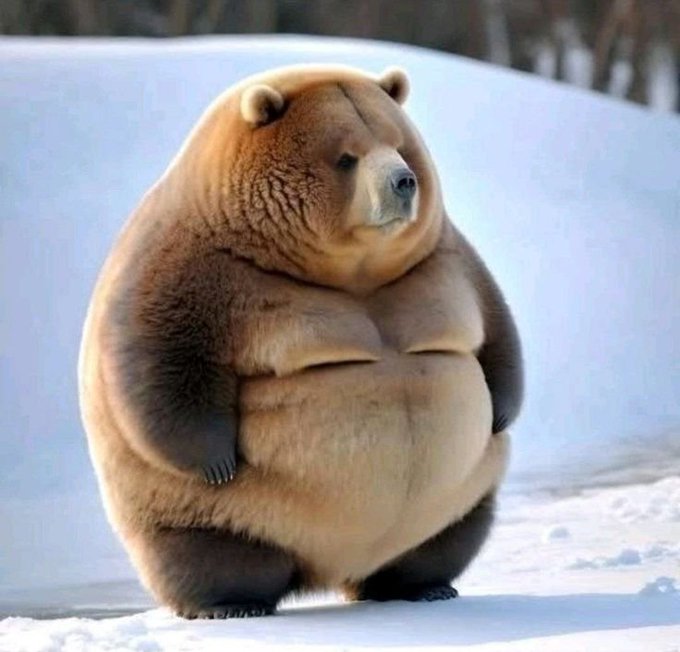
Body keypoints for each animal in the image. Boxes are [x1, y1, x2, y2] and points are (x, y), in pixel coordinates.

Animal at [78, 64, 523, 619]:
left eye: (399, 144)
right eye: (346, 157)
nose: (404, 181)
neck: (354, 274)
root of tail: (337, 565)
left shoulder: (438, 256)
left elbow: (492, 324)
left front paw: (502, 411)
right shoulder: (201, 261)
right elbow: (157, 351)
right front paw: (216, 458)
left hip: (456, 494)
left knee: (450, 533)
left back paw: (421, 584)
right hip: (214, 512)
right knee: (210, 552)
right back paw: (233, 601)